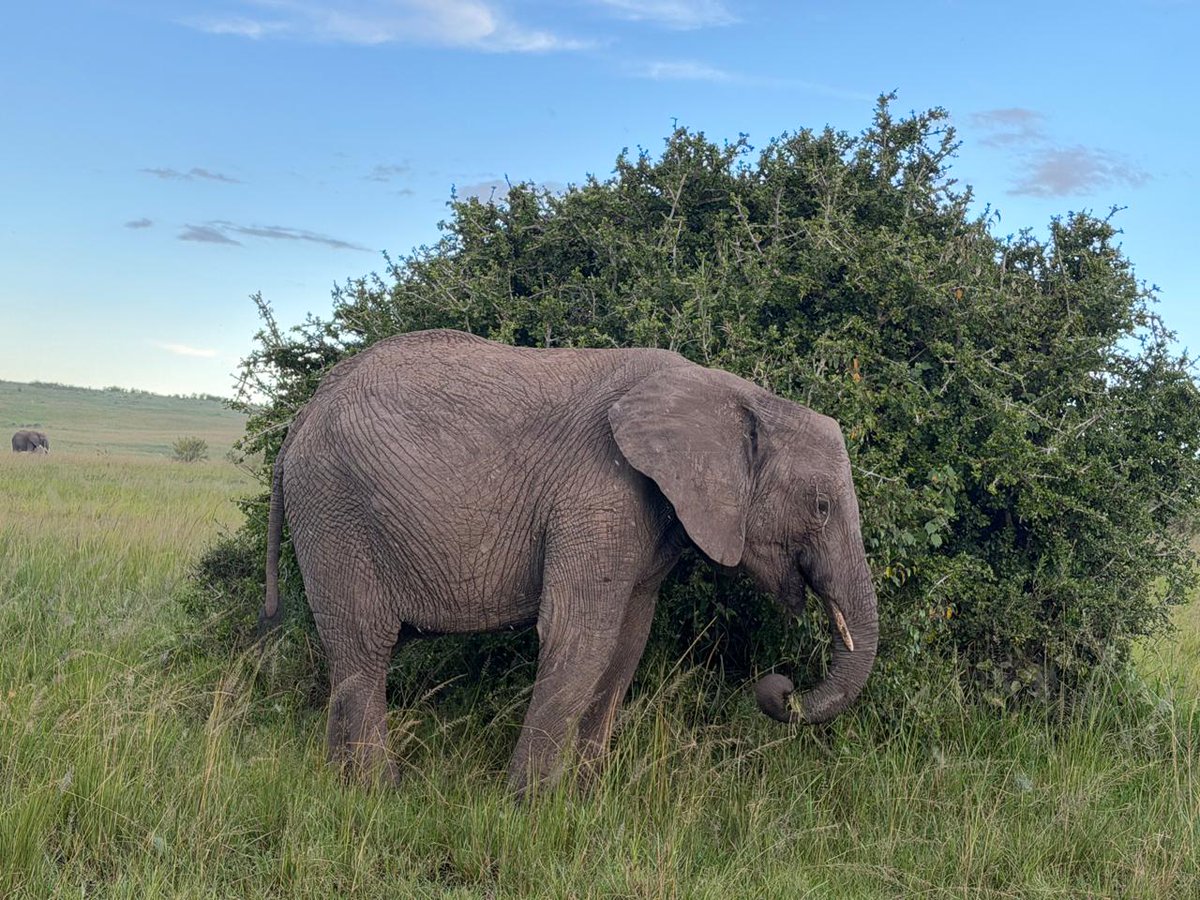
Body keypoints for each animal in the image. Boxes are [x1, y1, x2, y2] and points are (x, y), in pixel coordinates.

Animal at [260, 329, 879, 796]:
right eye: (822, 507)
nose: (780, 685)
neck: (738, 395)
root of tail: (301, 418)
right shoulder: (601, 490)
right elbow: (580, 636)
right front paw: (528, 808)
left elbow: (627, 643)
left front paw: (587, 797)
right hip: (335, 510)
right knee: (365, 649)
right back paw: (378, 794)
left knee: (349, 656)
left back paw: (339, 785)